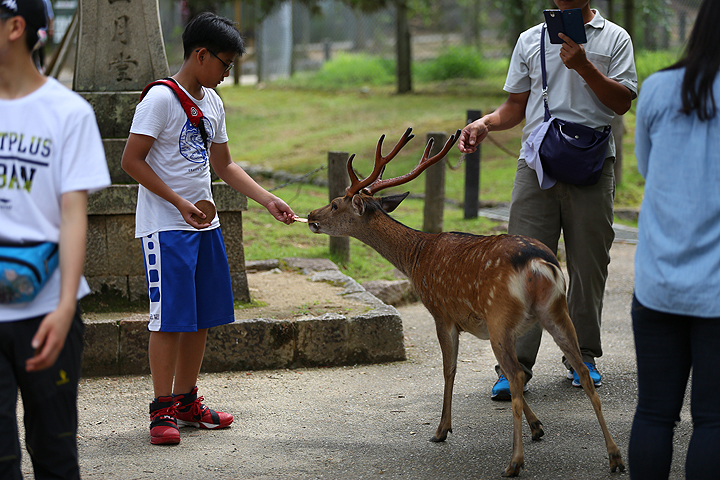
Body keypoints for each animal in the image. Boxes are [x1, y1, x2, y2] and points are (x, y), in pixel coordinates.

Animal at [306, 127, 628, 476]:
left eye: (335, 204)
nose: (310, 215)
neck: (416, 259)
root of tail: (539, 265)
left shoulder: (442, 313)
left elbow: (450, 369)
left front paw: (441, 430)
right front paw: (538, 427)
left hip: (501, 315)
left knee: (517, 375)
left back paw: (514, 463)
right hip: (555, 311)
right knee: (580, 370)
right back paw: (615, 456)